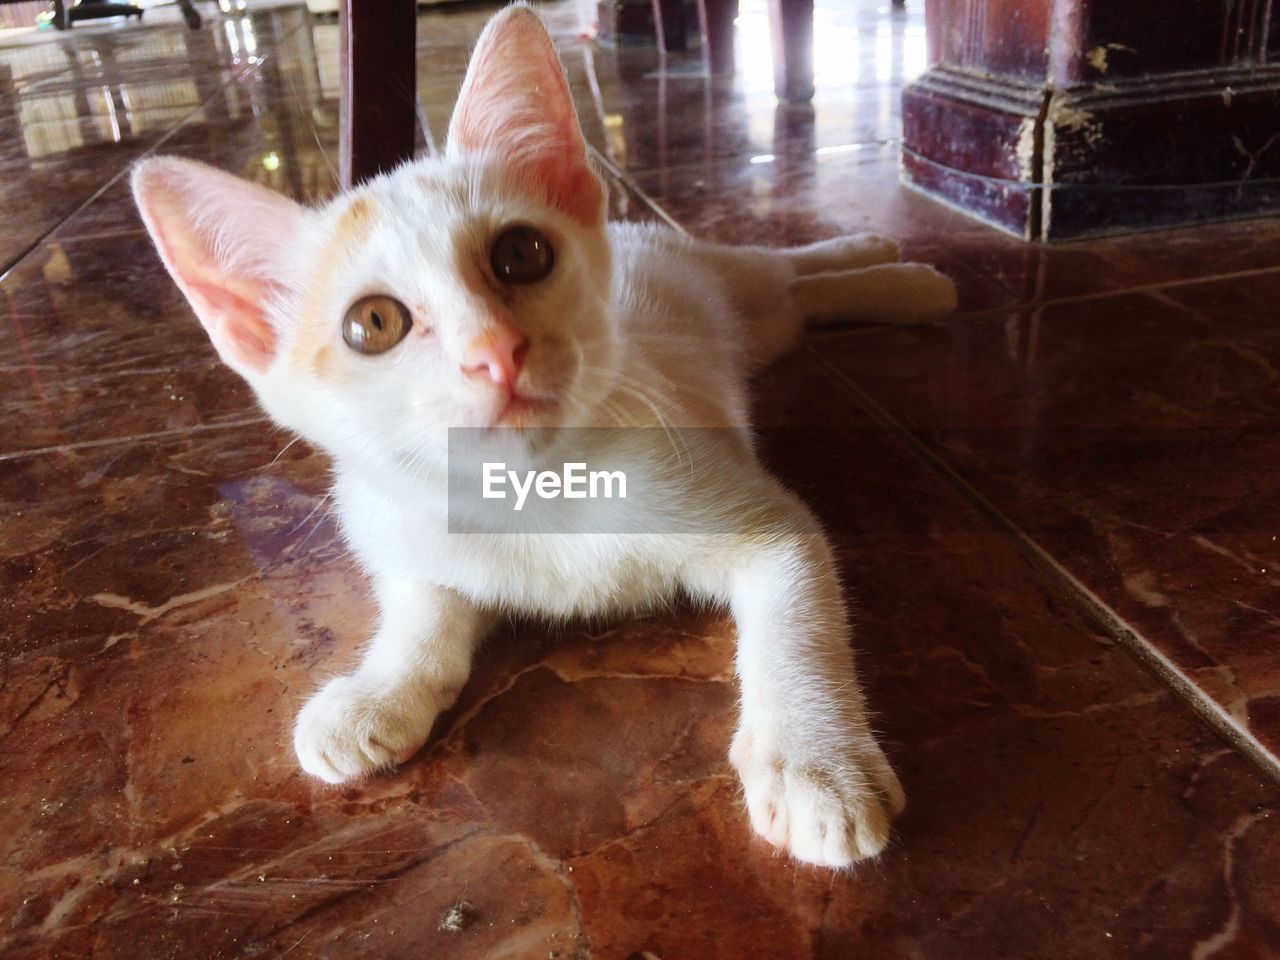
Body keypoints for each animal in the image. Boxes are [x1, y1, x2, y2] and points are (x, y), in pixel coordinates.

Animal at [135, 1, 957, 870]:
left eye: (521, 254)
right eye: (373, 324)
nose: (496, 352)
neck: (530, 491)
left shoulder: (764, 523)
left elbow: (796, 623)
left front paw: (814, 763)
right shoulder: (407, 533)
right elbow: (421, 610)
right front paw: (377, 692)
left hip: (726, 285)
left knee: (780, 268)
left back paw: (892, 270)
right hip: (755, 330)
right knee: (792, 302)